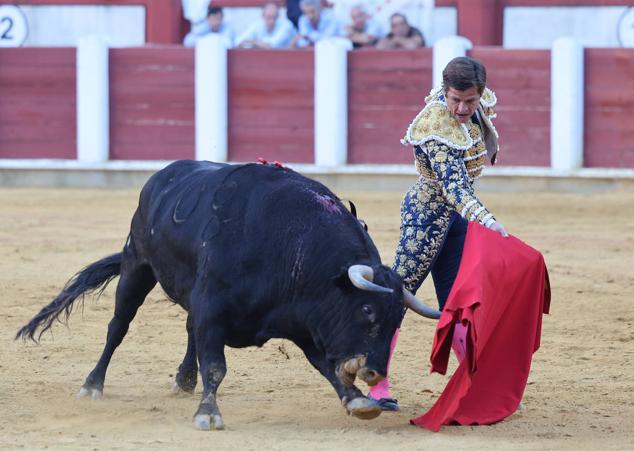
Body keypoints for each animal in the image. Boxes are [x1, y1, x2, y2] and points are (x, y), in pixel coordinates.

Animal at [16, 161, 440, 430]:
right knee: (118, 328)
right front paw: (208, 414)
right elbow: (216, 366)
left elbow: (323, 365)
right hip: (137, 266)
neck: (291, 246)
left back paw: (183, 380)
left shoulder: (303, 320)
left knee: (188, 330)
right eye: (366, 309)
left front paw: (357, 401)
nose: (375, 371)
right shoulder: (213, 308)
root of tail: (161, 177)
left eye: (397, 320)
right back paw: (93, 385)